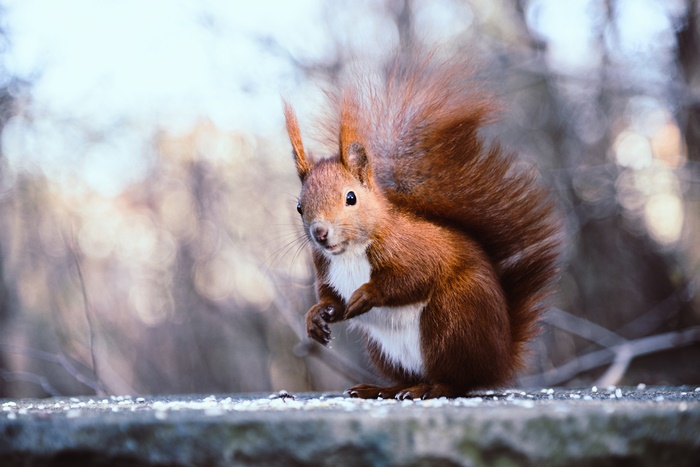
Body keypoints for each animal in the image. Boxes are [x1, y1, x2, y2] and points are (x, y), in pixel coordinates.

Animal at [284, 51, 560, 400]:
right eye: (299, 207)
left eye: (351, 197)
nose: (320, 233)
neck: (350, 253)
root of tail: (501, 359)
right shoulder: (325, 268)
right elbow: (329, 297)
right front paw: (317, 316)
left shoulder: (413, 249)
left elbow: (413, 276)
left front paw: (366, 294)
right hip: (385, 351)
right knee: (407, 377)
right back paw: (382, 389)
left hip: (451, 320)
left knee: (458, 381)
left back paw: (429, 389)